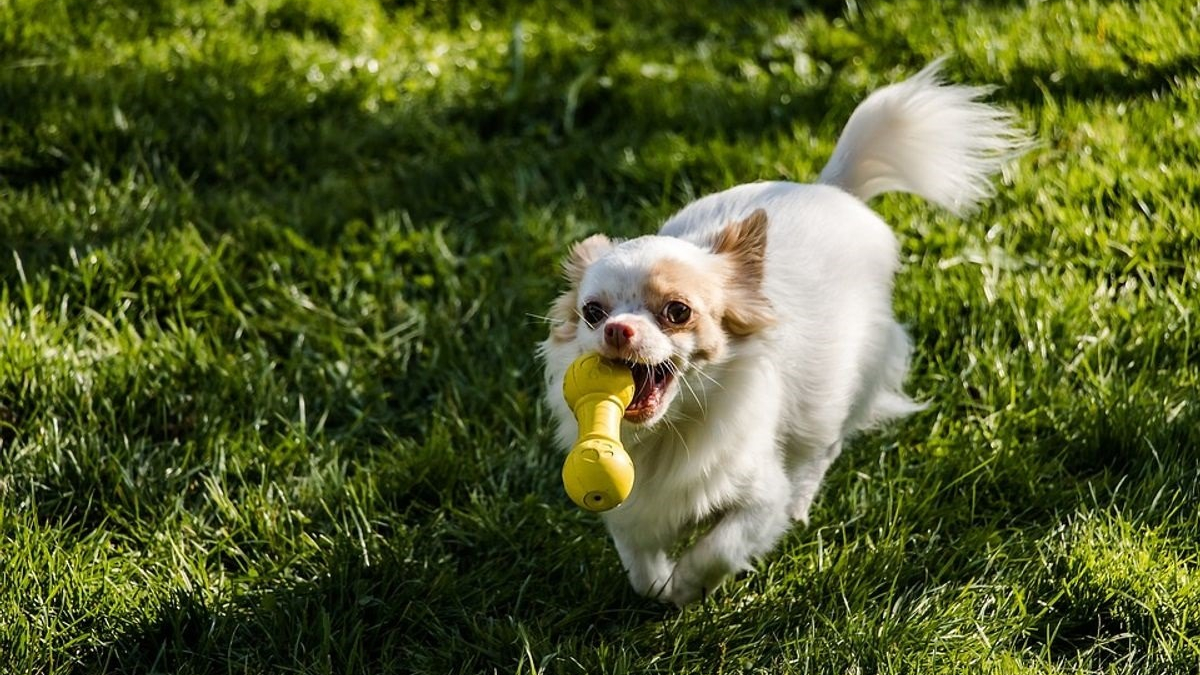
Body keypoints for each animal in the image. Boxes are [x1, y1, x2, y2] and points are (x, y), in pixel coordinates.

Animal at [540, 59, 1027, 605]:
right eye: (593, 313)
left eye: (677, 311)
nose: (618, 330)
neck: (669, 432)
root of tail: (831, 188)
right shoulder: (631, 508)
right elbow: (641, 568)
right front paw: (664, 587)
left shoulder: (758, 498)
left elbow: (721, 546)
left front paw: (689, 586)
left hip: (838, 393)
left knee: (821, 450)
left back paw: (800, 503)